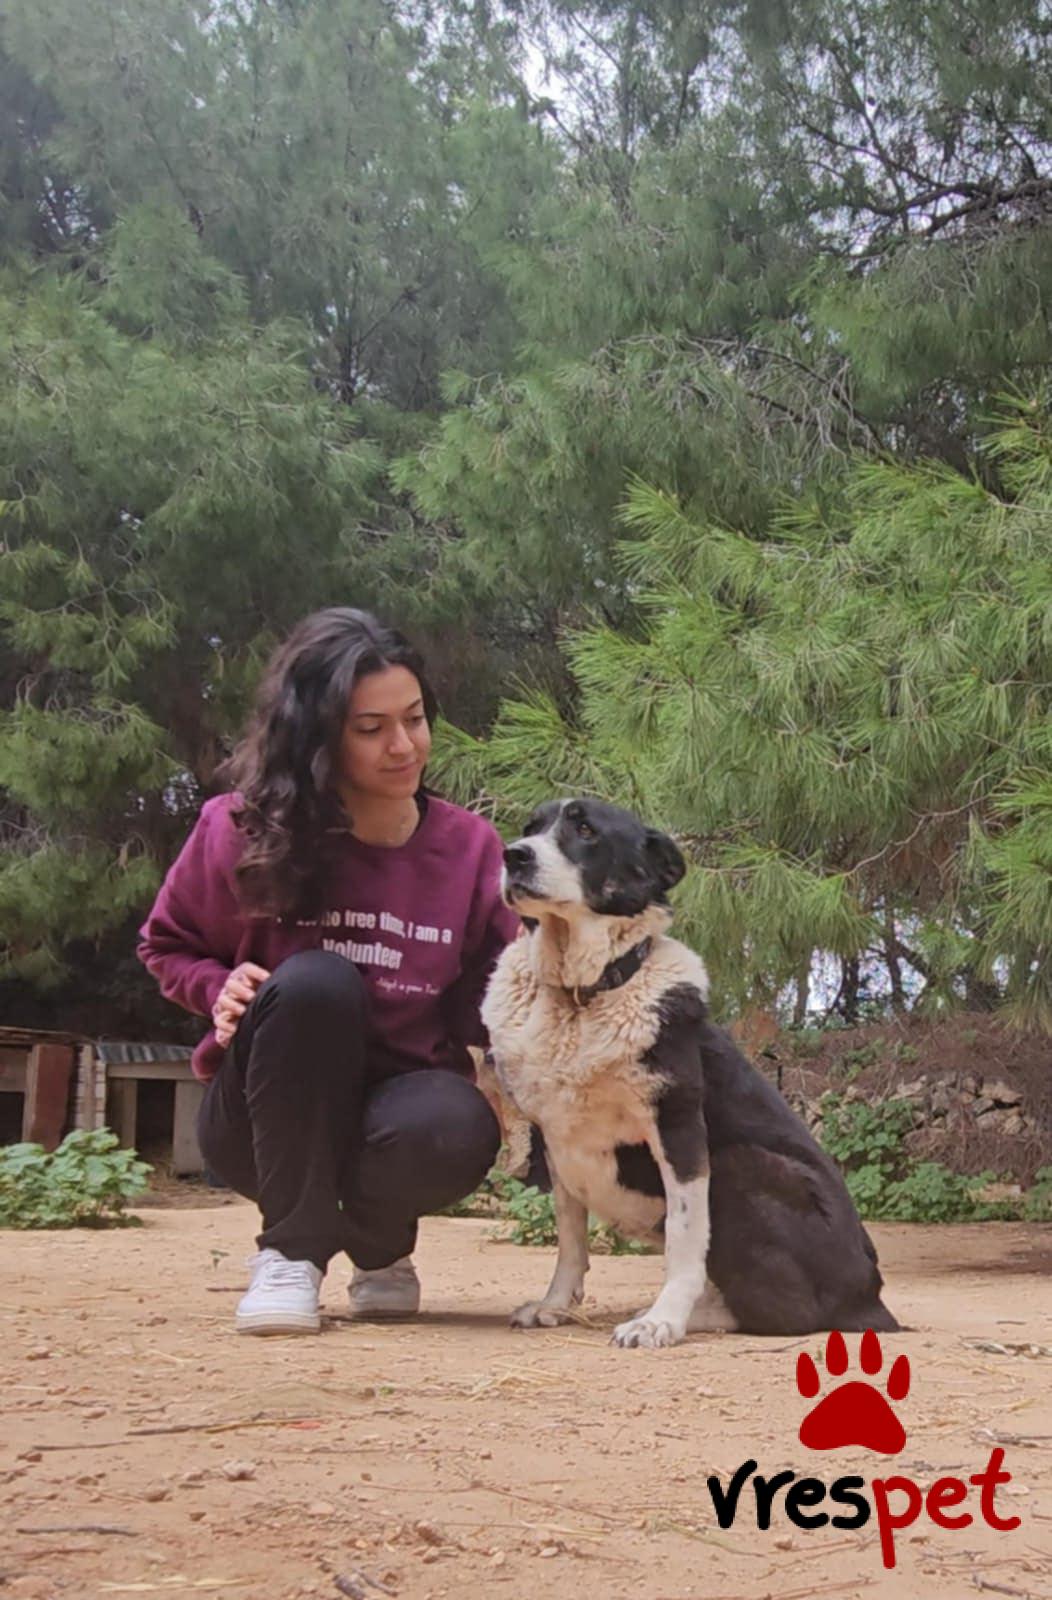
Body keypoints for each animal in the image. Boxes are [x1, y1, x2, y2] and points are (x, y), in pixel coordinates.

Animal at [479, 797, 899, 1348]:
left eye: (585, 829)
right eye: (531, 827)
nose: (514, 855)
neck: (581, 998)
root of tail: (872, 1296)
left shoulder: (678, 1130)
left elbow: (684, 1239)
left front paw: (662, 1320)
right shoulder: (555, 1139)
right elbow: (570, 1238)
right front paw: (555, 1305)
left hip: (741, 1165)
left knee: (783, 1312)